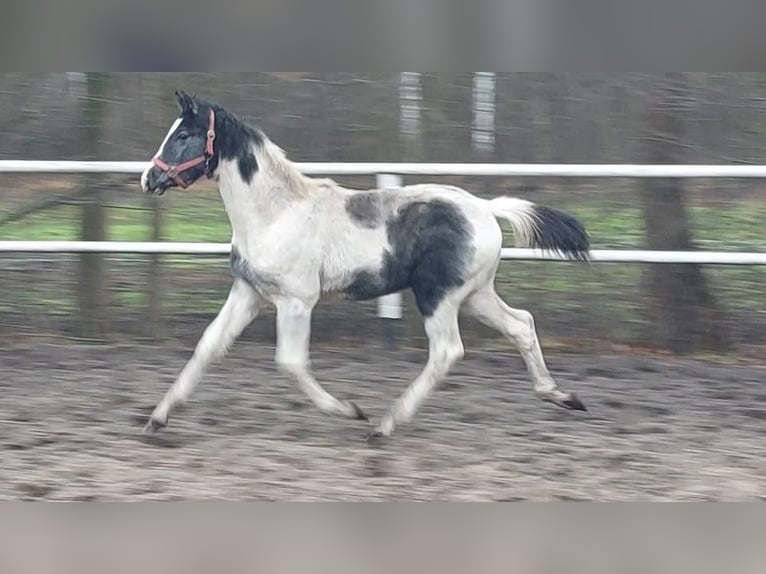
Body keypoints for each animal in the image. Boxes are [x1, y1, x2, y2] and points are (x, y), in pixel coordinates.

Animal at [141, 91, 592, 440]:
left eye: (183, 135)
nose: (149, 178)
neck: (276, 214)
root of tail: (484, 208)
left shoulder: (297, 301)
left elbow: (290, 363)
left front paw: (351, 410)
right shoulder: (249, 292)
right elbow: (209, 345)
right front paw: (157, 418)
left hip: (438, 297)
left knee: (448, 351)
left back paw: (384, 425)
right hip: (476, 294)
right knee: (522, 325)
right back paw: (563, 396)